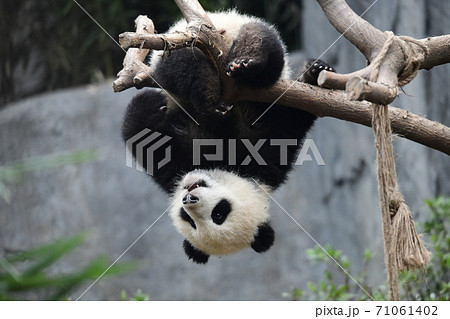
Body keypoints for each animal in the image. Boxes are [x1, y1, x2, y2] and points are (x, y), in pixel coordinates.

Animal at [123, 10, 334, 264]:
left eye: (219, 213)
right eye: (189, 220)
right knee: (186, 63)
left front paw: (315, 74)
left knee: (264, 48)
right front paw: (151, 106)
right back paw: (210, 94)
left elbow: (290, 122)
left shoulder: (265, 160)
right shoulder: (174, 170)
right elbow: (143, 132)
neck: (222, 163)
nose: (189, 198)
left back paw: (250, 63)